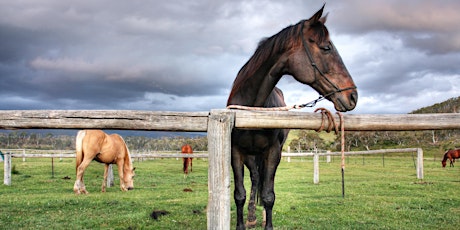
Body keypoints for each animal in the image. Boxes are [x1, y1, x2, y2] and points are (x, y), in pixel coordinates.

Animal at [227, 4, 360, 229]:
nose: (352, 96)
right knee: (255, 178)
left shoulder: (273, 153)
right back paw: (252, 215)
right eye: (326, 48)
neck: (253, 110)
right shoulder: (236, 152)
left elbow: (269, 195)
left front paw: (268, 223)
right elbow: (240, 194)